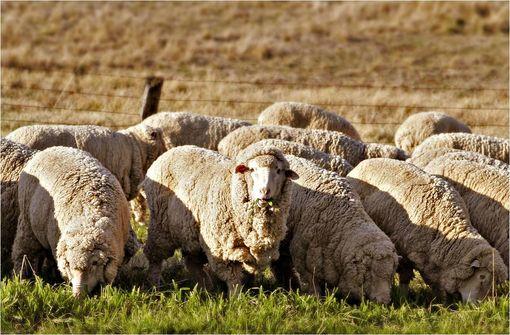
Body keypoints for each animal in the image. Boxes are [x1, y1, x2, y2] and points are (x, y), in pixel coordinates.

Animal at [11, 147, 130, 296]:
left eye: (95, 263)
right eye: (69, 264)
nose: (77, 295)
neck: (90, 215)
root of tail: (50, 148)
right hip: (27, 222)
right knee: (24, 251)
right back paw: (23, 278)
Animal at [141, 144, 296, 294]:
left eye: (279, 171)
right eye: (252, 169)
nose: (264, 191)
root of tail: (171, 151)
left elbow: (247, 273)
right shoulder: (222, 248)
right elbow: (233, 278)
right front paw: (237, 297)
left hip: (190, 233)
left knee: (192, 261)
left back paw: (204, 288)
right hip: (160, 226)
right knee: (155, 258)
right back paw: (155, 286)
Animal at [348, 159, 508, 304]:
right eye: (482, 277)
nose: (479, 305)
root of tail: (363, 162)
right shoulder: (406, 252)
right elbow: (409, 277)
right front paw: (405, 297)